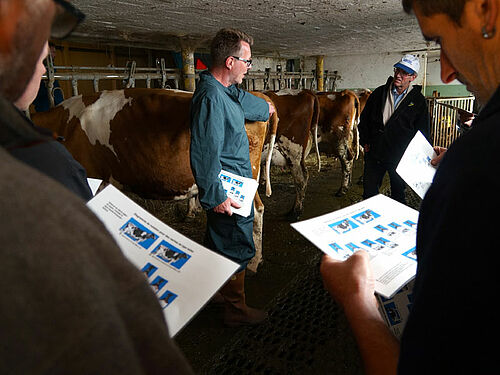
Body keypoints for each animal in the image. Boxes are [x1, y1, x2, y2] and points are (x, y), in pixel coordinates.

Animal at [262, 89, 320, 220]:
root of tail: (304, 92)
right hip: (299, 156)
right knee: (305, 176)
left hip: (293, 153)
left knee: (300, 180)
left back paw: (295, 213)